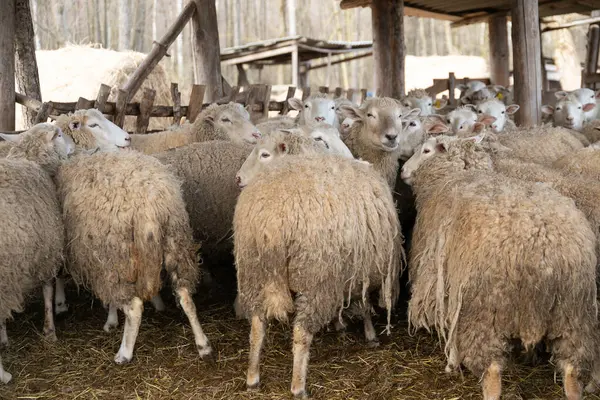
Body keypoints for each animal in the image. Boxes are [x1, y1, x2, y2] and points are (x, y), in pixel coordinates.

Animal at [0, 122, 74, 384]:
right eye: (59, 135)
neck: (30, 159)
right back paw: (4, 375)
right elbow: (48, 292)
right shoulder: (47, 254)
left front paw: (4, 338)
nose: (74, 147)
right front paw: (50, 331)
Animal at [56, 150, 211, 362]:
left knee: (134, 308)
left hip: (115, 254)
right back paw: (203, 345)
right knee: (185, 296)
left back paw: (124, 353)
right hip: (175, 242)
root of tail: (151, 205)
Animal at [234, 152, 404, 396]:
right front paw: (371, 335)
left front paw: (340, 325)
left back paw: (252, 377)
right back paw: (298, 387)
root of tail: (272, 224)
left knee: (257, 327)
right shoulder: (358, 273)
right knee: (301, 332)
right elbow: (364, 306)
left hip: (253, 274)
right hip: (316, 278)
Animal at [400, 134, 596, 400]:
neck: (457, 174)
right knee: (572, 369)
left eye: (426, 150)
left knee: (491, 369)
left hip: (486, 309)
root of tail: (542, 251)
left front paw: (452, 363)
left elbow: (450, 326)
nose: (402, 170)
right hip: (573, 311)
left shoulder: (444, 279)